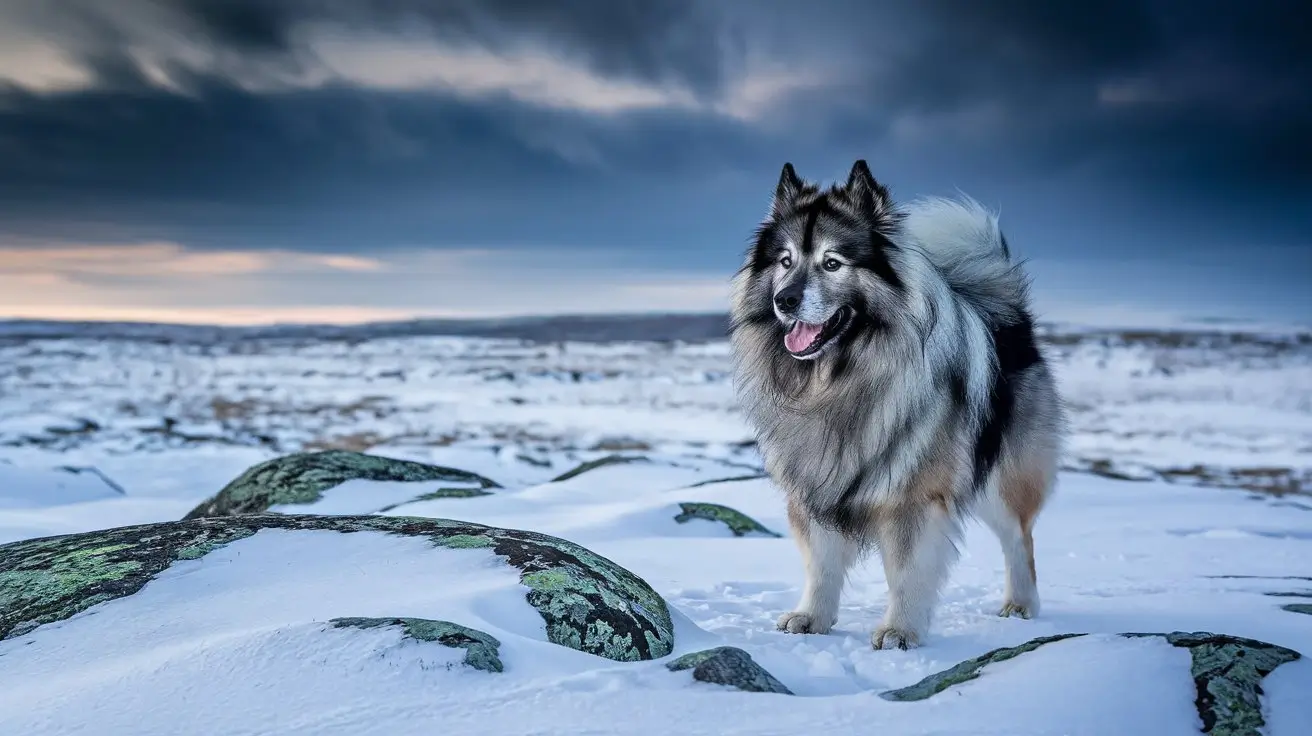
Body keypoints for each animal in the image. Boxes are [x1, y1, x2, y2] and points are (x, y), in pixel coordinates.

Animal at [724, 159, 1070, 648]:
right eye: (785, 261)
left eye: (832, 263)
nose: (784, 300)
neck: (835, 382)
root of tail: (1012, 316)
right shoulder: (816, 485)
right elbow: (821, 563)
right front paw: (811, 618)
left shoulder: (915, 498)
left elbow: (907, 571)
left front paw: (899, 631)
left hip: (1001, 477)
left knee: (1019, 540)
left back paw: (1022, 604)